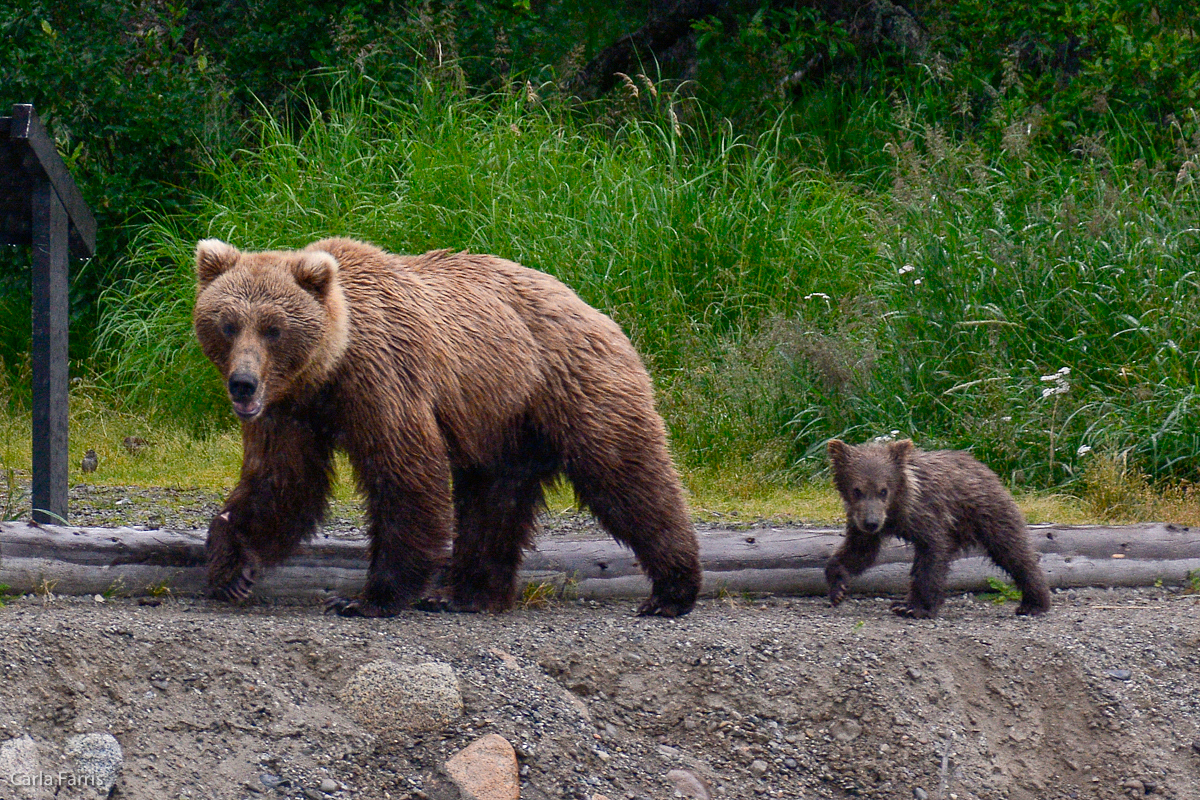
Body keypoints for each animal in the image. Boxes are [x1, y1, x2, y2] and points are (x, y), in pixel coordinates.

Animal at [192, 237, 700, 618]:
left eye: (273, 328)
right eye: (227, 324)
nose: (242, 384)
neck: (329, 370)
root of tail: (594, 309)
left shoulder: (384, 379)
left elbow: (406, 475)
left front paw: (368, 598)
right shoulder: (289, 411)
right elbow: (282, 483)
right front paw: (231, 567)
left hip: (568, 386)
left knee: (626, 475)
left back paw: (671, 590)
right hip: (502, 421)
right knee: (493, 500)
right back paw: (468, 594)